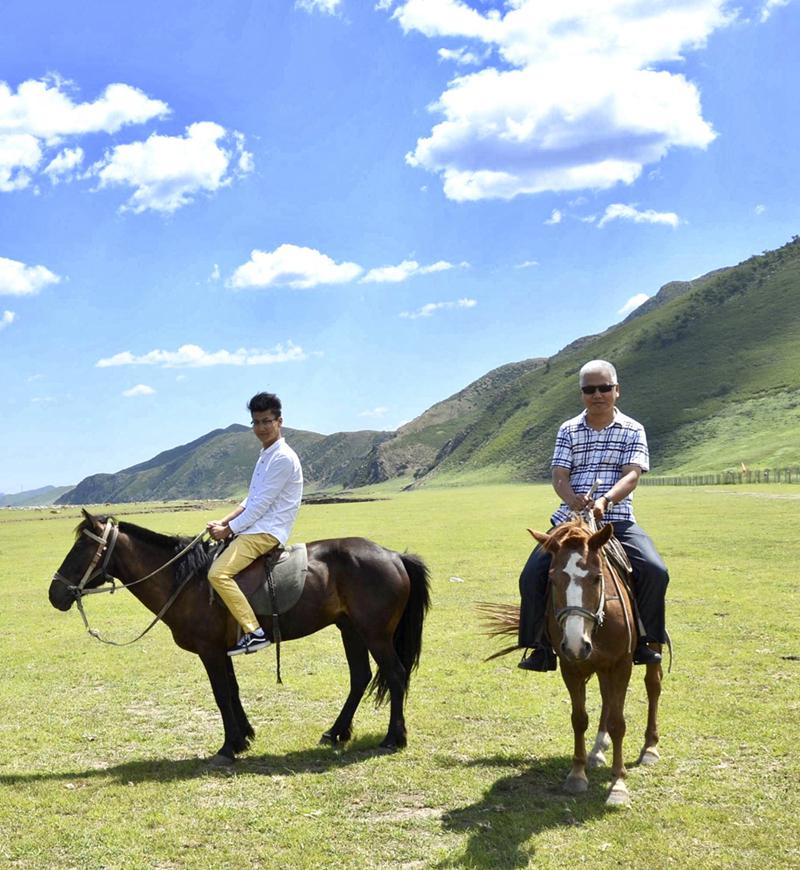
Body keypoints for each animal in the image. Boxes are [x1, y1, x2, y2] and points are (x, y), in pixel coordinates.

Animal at [47, 516, 428, 768]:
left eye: (82, 546)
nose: (54, 593)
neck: (186, 580)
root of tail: (394, 555)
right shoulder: (222, 650)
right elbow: (232, 691)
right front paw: (243, 737)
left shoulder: (210, 651)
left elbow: (220, 695)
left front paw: (228, 747)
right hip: (350, 629)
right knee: (360, 677)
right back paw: (336, 733)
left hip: (375, 634)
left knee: (395, 675)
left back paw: (393, 738)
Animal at [482, 516, 664, 812]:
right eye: (552, 579)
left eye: (597, 577)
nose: (577, 644)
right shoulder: (571, 667)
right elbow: (579, 719)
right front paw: (577, 774)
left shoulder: (621, 664)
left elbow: (618, 723)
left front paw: (618, 784)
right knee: (606, 698)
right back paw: (598, 750)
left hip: (649, 649)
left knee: (653, 686)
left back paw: (649, 748)